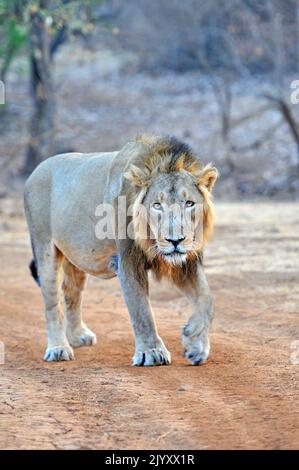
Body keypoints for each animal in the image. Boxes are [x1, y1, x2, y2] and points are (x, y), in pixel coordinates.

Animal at [24, 134, 218, 366]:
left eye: (189, 203)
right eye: (157, 205)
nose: (175, 240)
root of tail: (35, 170)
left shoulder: (185, 262)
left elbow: (207, 299)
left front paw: (195, 344)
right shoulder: (127, 262)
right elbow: (141, 309)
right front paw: (151, 352)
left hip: (76, 256)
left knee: (71, 292)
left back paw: (78, 336)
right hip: (44, 248)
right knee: (52, 302)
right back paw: (58, 348)